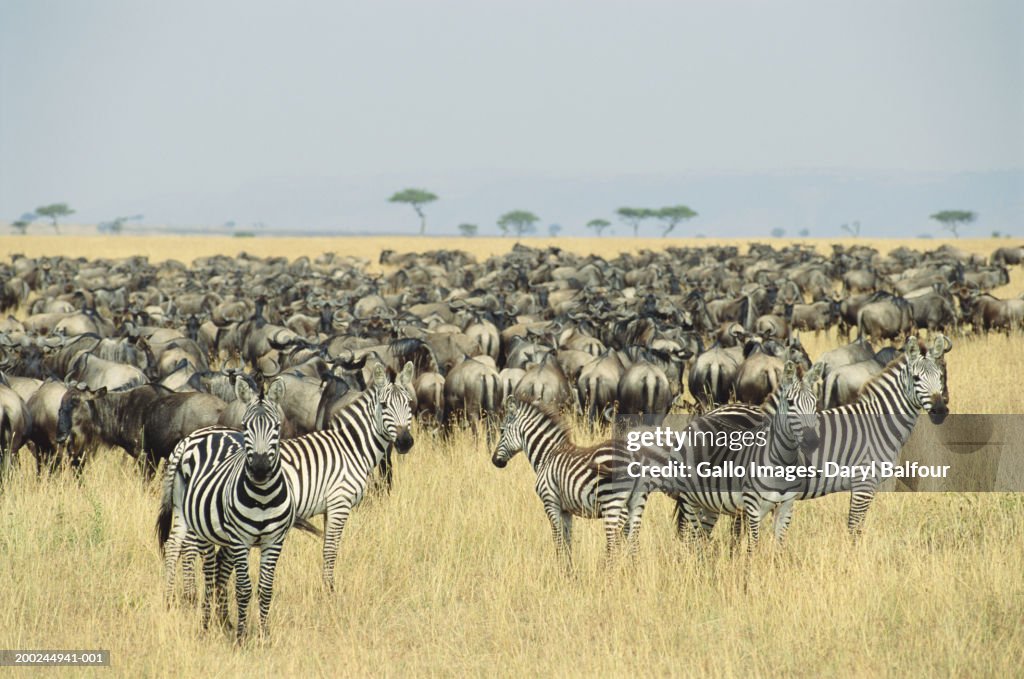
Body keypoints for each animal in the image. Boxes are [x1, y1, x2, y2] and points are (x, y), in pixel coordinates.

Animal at [156, 374, 292, 639]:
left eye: (276, 427)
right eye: (246, 426)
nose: (260, 469)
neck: (262, 496)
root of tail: (199, 433)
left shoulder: (274, 540)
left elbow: (265, 589)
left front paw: (263, 635)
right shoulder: (240, 540)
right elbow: (244, 588)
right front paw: (240, 636)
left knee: (216, 567)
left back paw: (222, 620)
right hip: (188, 515)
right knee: (185, 553)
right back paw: (188, 612)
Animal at [169, 360, 413, 602]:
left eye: (409, 403)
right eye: (384, 405)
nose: (405, 442)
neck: (350, 447)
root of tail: (189, 440)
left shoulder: (329, 507)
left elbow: (327, 546)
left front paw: (326, 587)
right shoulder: (339, 503)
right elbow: (331, 548)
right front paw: (329, 591)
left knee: (177, 543)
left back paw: (178, 596)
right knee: (188, 546)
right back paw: (190, 596)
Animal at [489, 395, 647, 565]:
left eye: (501, 431)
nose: (495, 461)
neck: (547, 455)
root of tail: (633, 457)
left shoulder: (550, 503)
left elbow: (558, 540)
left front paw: (559, 569)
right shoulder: (566, 510)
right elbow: (568, 541)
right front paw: (569, 569)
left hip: (612, 503)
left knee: (614, 543)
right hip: (635, 503)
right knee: (633, 541)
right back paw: (633, 570)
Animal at [790, 333, 950, 536]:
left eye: (940, 376)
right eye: (916, 378)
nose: (940, 410)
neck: (877, 423)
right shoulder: (865, 481)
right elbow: (855, 526)